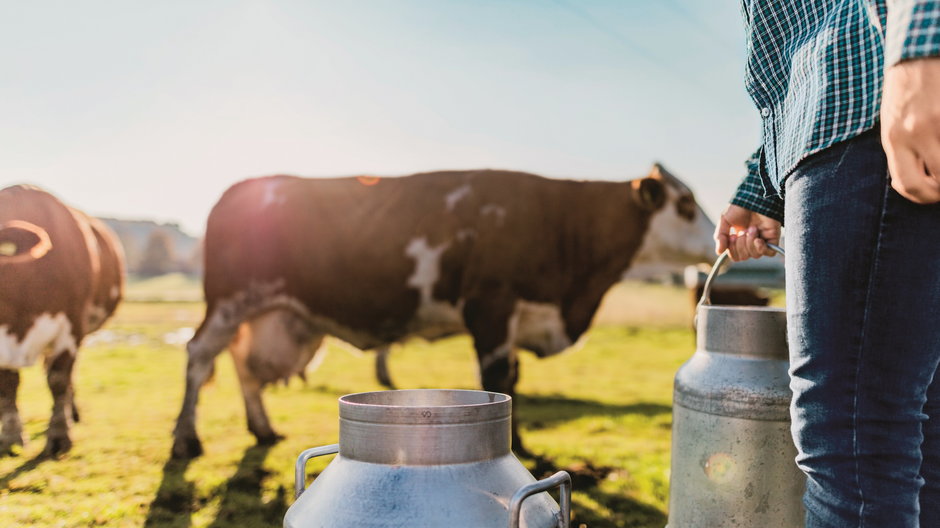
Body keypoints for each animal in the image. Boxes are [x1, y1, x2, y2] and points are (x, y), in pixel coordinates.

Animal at [0, 187, 125, 458]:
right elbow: (8, 384)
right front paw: (12, 438)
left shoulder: (71, 327)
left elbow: (58, 379)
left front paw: (59, 437)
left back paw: (71, 415)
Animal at [171, 164, 712, 458]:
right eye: (686, 205)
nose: (715, 241)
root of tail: (244, 188)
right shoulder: (491, 307)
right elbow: (498, 379)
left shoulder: (518, 317)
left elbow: (511, 380)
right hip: (228, 302)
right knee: (199, 356)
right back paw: (185, 439)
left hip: (268, 316)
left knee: (243, 365)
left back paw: (261, 429)